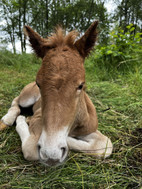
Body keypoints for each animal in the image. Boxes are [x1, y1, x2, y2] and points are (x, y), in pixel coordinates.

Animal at [0, 21, 112, 166]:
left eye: (81, 85)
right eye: (38, 84)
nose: (51, 154)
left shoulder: (89, 128)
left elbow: (105, 146)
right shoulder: (38, 119)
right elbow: (31, 149)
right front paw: (22, 120)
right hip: (27, 97)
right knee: (16, 100)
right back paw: (8, 119)